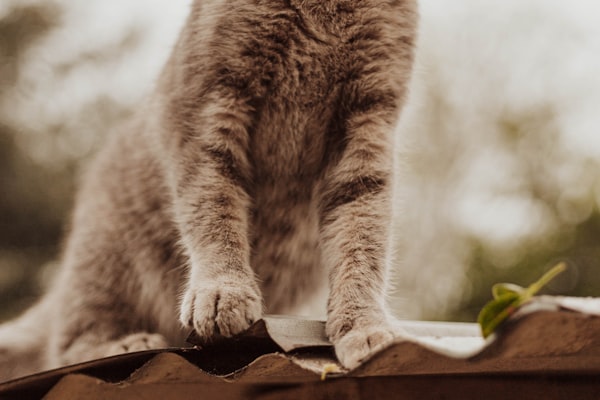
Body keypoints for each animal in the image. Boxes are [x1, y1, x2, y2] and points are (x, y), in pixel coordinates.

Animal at [0, 0, 418, 382]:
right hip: (105, 259)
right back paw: (124, 343)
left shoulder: (368, 128)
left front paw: (364, 324)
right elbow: (214, 208)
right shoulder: (205, 111)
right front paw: (223, 288)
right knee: (67, 344)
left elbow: (362, 239)